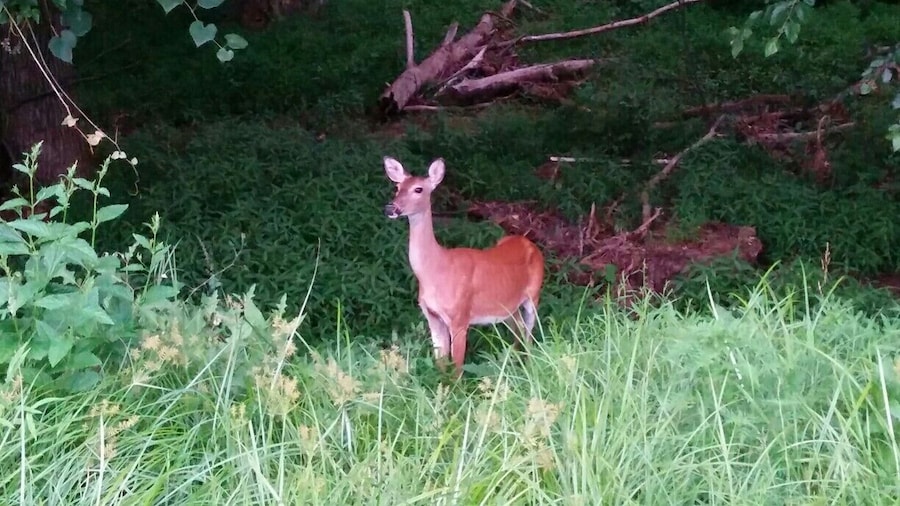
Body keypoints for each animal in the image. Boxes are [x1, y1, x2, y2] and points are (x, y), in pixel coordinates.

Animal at [382, 156, 545, 378]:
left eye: (418, 189)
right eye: (398, 187)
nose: (391, 208)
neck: (436, 269)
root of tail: (529, 243)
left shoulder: (460, 316)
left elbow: (457, 370)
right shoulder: (432, 316)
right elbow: (441, 365)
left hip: (533, 295)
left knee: (529, 336)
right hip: (508, 307)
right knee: (519, 330)